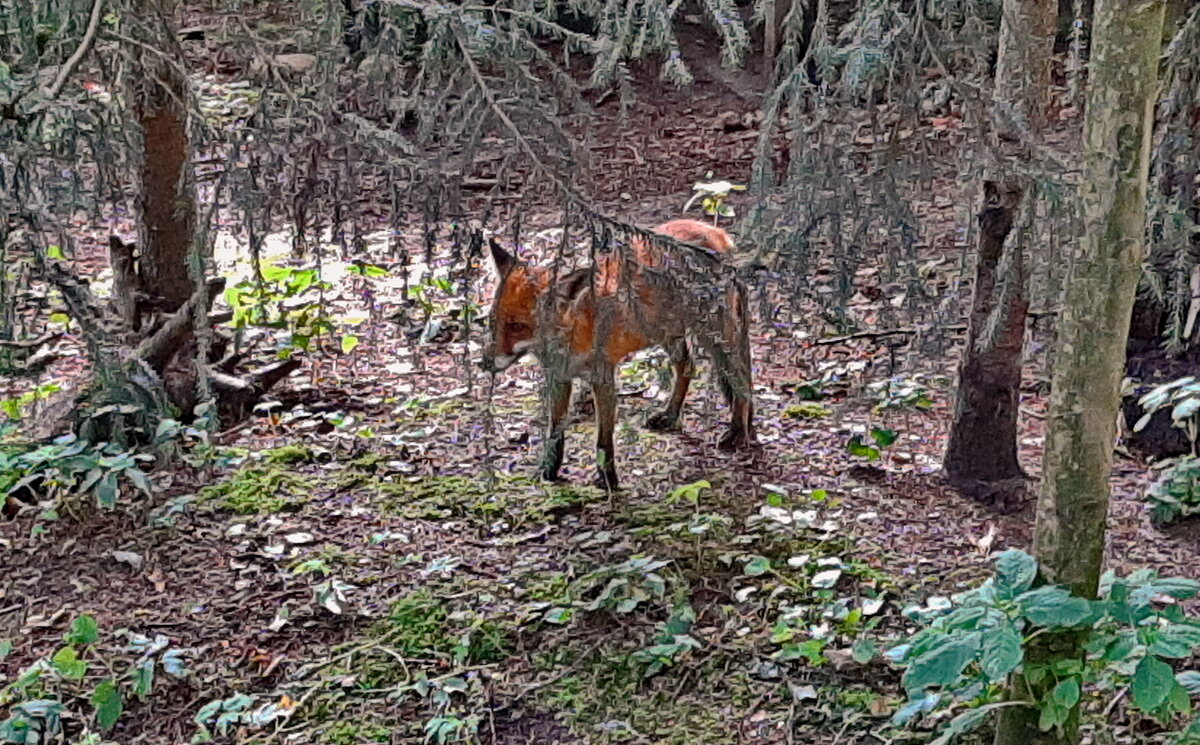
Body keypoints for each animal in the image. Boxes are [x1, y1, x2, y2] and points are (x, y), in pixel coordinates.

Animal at [480, 218, 753, 491]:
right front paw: (548, 472)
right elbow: (555, 433)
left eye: (517, 326)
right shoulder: (559, 377)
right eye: (493, 321)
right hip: (667, 333)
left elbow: (603, 439)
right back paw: (671, 415)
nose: (484, 363)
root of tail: (714, 231)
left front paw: (608, 480)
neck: (574, 330)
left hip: (716, 338)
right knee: (688, 367)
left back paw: (738, 432)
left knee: (741, 383)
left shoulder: (603, 378)